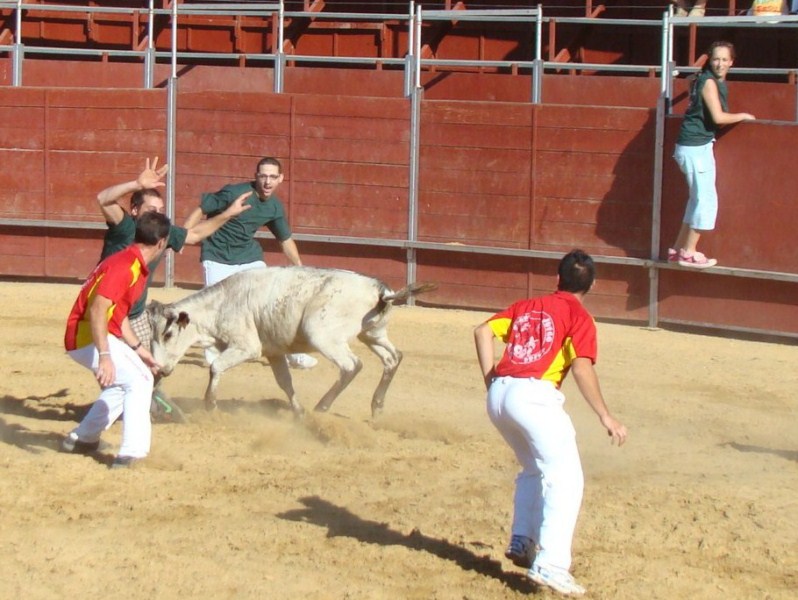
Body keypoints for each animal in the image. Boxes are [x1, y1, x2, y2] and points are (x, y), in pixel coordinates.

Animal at [150, 268, 438, 418]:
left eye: (168, 335)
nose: (159, 370)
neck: (221, 303)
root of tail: (381, 290)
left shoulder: (247, 347)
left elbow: (216, 366)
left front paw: (210, 403)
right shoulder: (274, 352)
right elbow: (285, 383)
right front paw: (298, 412)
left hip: (321, 334)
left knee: (352, 365)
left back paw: (323, 406)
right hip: (373, 333)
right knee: (393, 357)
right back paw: (376, 406)